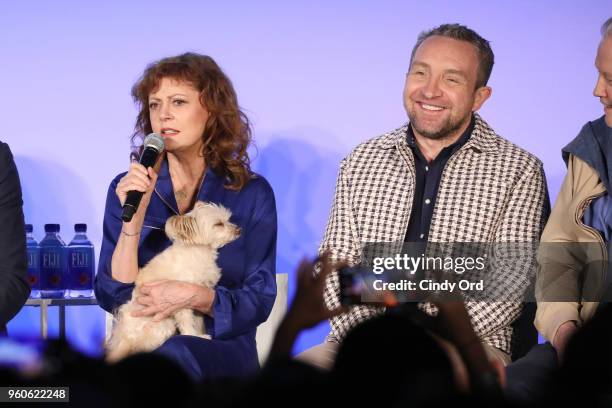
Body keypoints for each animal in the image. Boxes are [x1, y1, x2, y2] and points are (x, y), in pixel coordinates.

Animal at [105, 202, 239, 364]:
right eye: (218, 224)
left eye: (227, 220)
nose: (239, 230)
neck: (199, 251)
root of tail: (126, 338)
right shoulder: (180, 301)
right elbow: (187, 321)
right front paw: (194, 335)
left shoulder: (198, 299)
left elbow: (198, 321)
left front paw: (200, 334)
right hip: (164, 323)